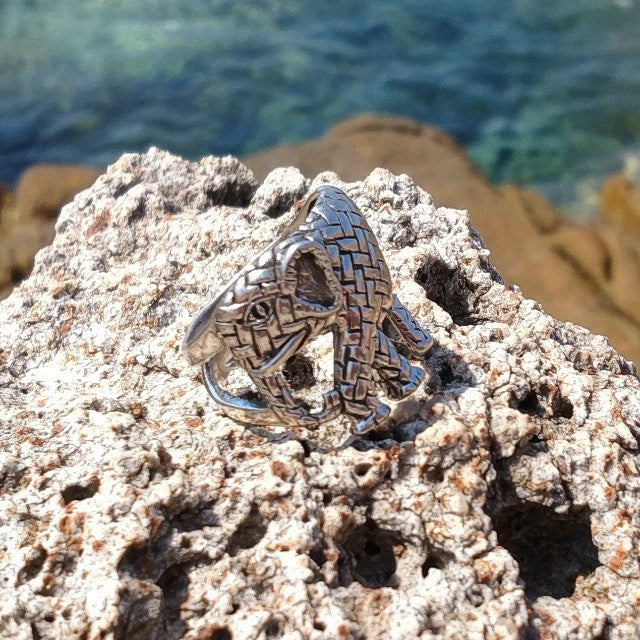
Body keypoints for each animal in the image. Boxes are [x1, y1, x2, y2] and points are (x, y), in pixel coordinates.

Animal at [182, 185, 433, 434]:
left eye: (260, 312)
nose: (321, 403)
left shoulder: (357, 288)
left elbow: (358, 344)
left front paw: (371, 418)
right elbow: (374, 342)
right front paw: (401, 393)